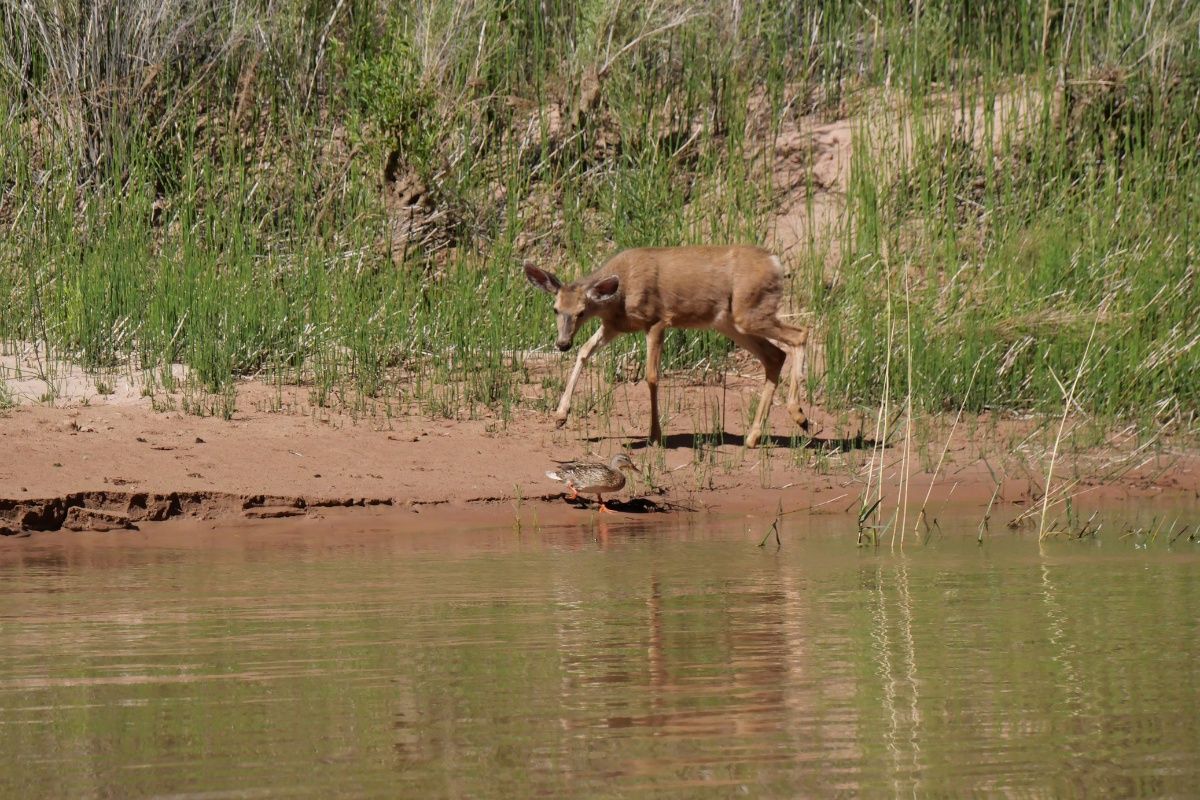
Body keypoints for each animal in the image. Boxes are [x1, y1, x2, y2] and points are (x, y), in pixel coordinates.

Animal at [524, 245, 812, 448]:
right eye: (555, 309)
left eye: (582, 312)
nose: (562, 343)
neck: (619, 296)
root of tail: (776, 262)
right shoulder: (614, 326)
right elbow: (584, 352)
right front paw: (560, 415)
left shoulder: (657, 319)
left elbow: (652, 376)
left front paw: (655, 435)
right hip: (731, 322)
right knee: (775, 355)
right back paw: (753, 437)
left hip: (749, 313)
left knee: (799, 334)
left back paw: (799, 415)